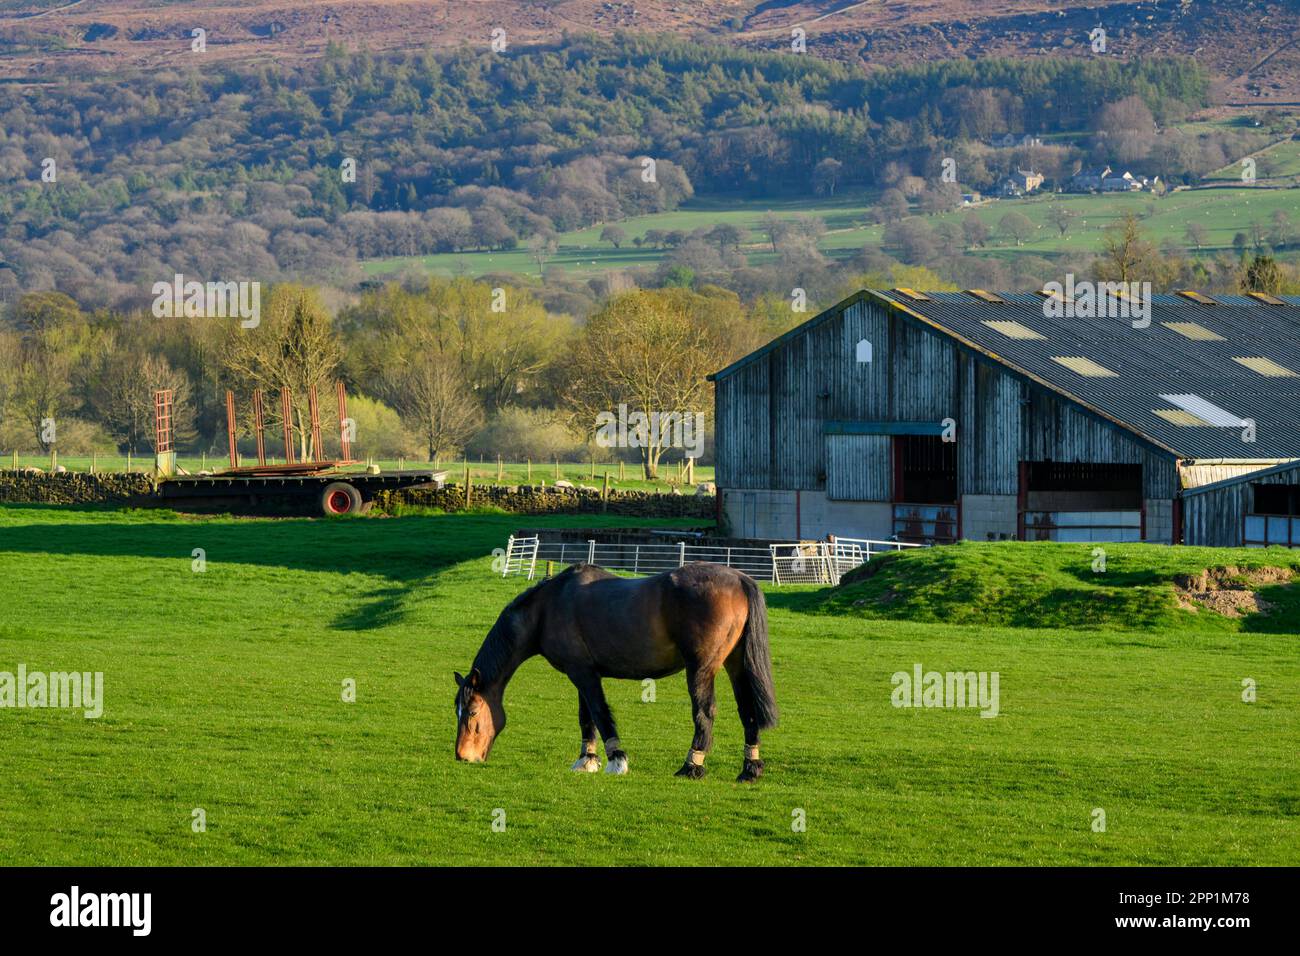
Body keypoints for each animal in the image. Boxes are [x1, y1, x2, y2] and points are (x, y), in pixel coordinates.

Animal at [452, 564, 774, 780]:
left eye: (472, 712)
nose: (463, 757)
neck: (546, 608)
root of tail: (740, 579)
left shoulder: (583, 674)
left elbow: (599, 712)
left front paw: (616, 760)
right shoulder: (582, 672)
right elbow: (586, 717)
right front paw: (587, 759)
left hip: (701, 668)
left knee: (704, 713)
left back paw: (692, 765)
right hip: (735, 664)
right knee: (747, 711)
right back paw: (750, 768)